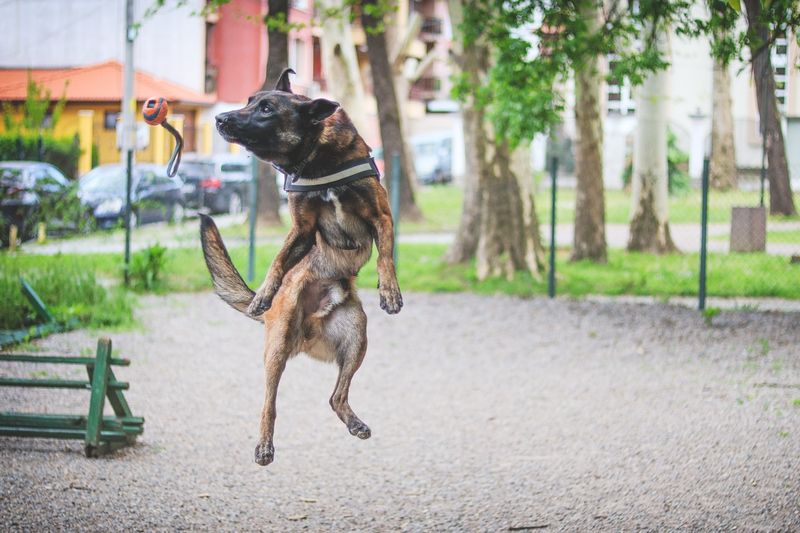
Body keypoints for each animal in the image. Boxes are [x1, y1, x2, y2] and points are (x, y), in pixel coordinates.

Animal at [200, 68, 402, 466]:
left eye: (266, 108)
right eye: (249, 100)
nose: (221, 118)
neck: (318, 157)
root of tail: (308, 328)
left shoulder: (381, 217)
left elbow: (385, 256)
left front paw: (389, 291)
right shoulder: (302, 230)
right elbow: (278, 260)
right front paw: (263, 294)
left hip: (356, 335)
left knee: (335, 397)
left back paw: (354, 423)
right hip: (277, 348)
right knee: (269, 402)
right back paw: (264, 444)